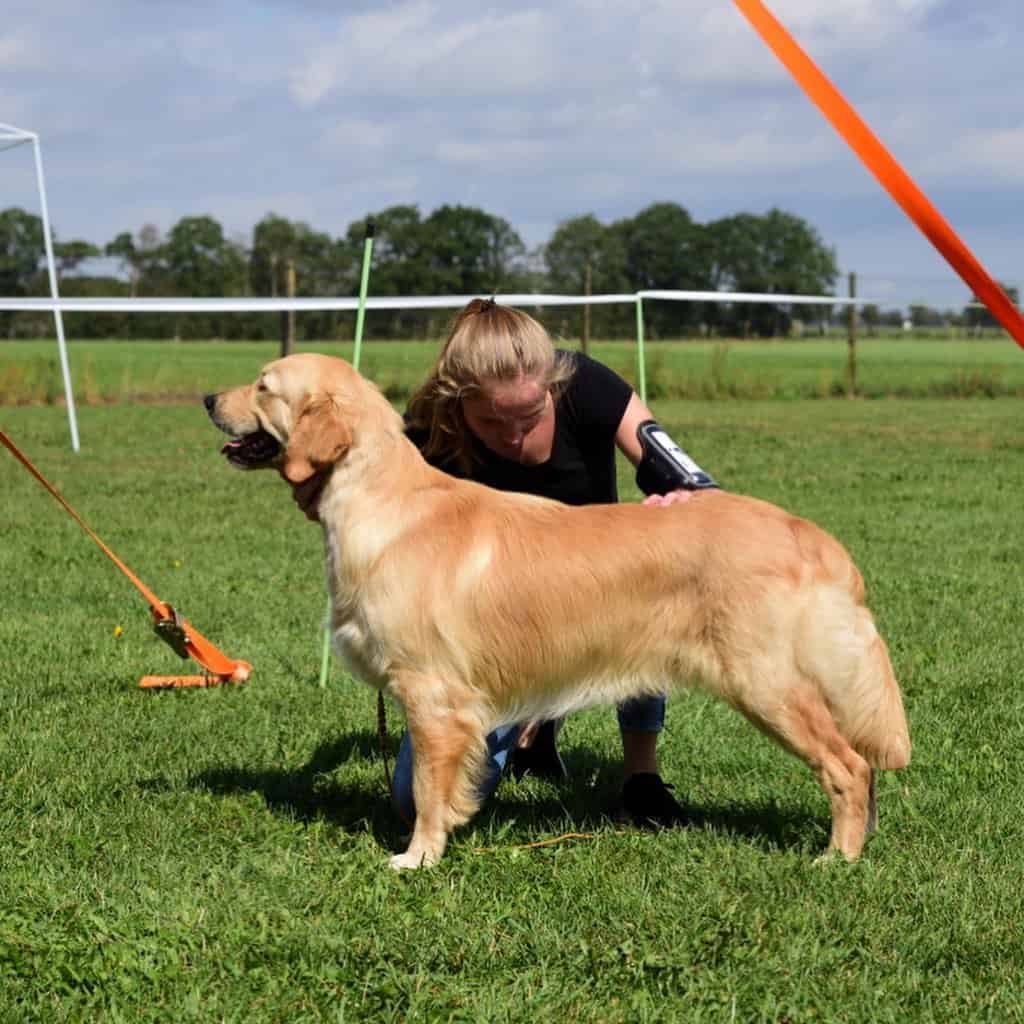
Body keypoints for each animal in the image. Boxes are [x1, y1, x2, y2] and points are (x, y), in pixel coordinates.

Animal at [203, 356, 909, 868]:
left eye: (263, 385)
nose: (208, 399)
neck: (383, 500)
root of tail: (804, 531)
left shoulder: (432, 695)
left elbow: (426, 789)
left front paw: (418, 858)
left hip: (764, 683)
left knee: (849, 766)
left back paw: (837, 858)